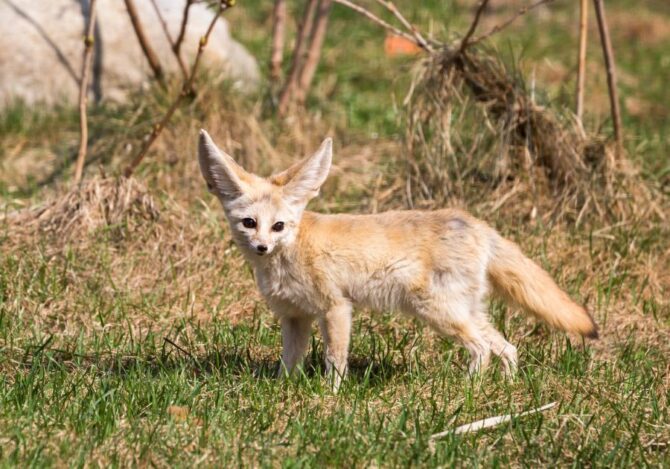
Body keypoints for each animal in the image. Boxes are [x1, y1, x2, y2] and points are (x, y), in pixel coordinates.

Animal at [197, 129, 598, 390]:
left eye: (278, 226)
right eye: (249, 223)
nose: (262, 247)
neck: (290, 253)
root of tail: (478, 224)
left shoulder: (336, 308)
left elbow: (335, 361)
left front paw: (330, 398)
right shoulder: (294, 317)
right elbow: (289, 363)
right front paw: (282, 391)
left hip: (438, 312)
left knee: (482, 349)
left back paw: (467, 391)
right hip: (465, 312)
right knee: (508, 347)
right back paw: (506, 388)